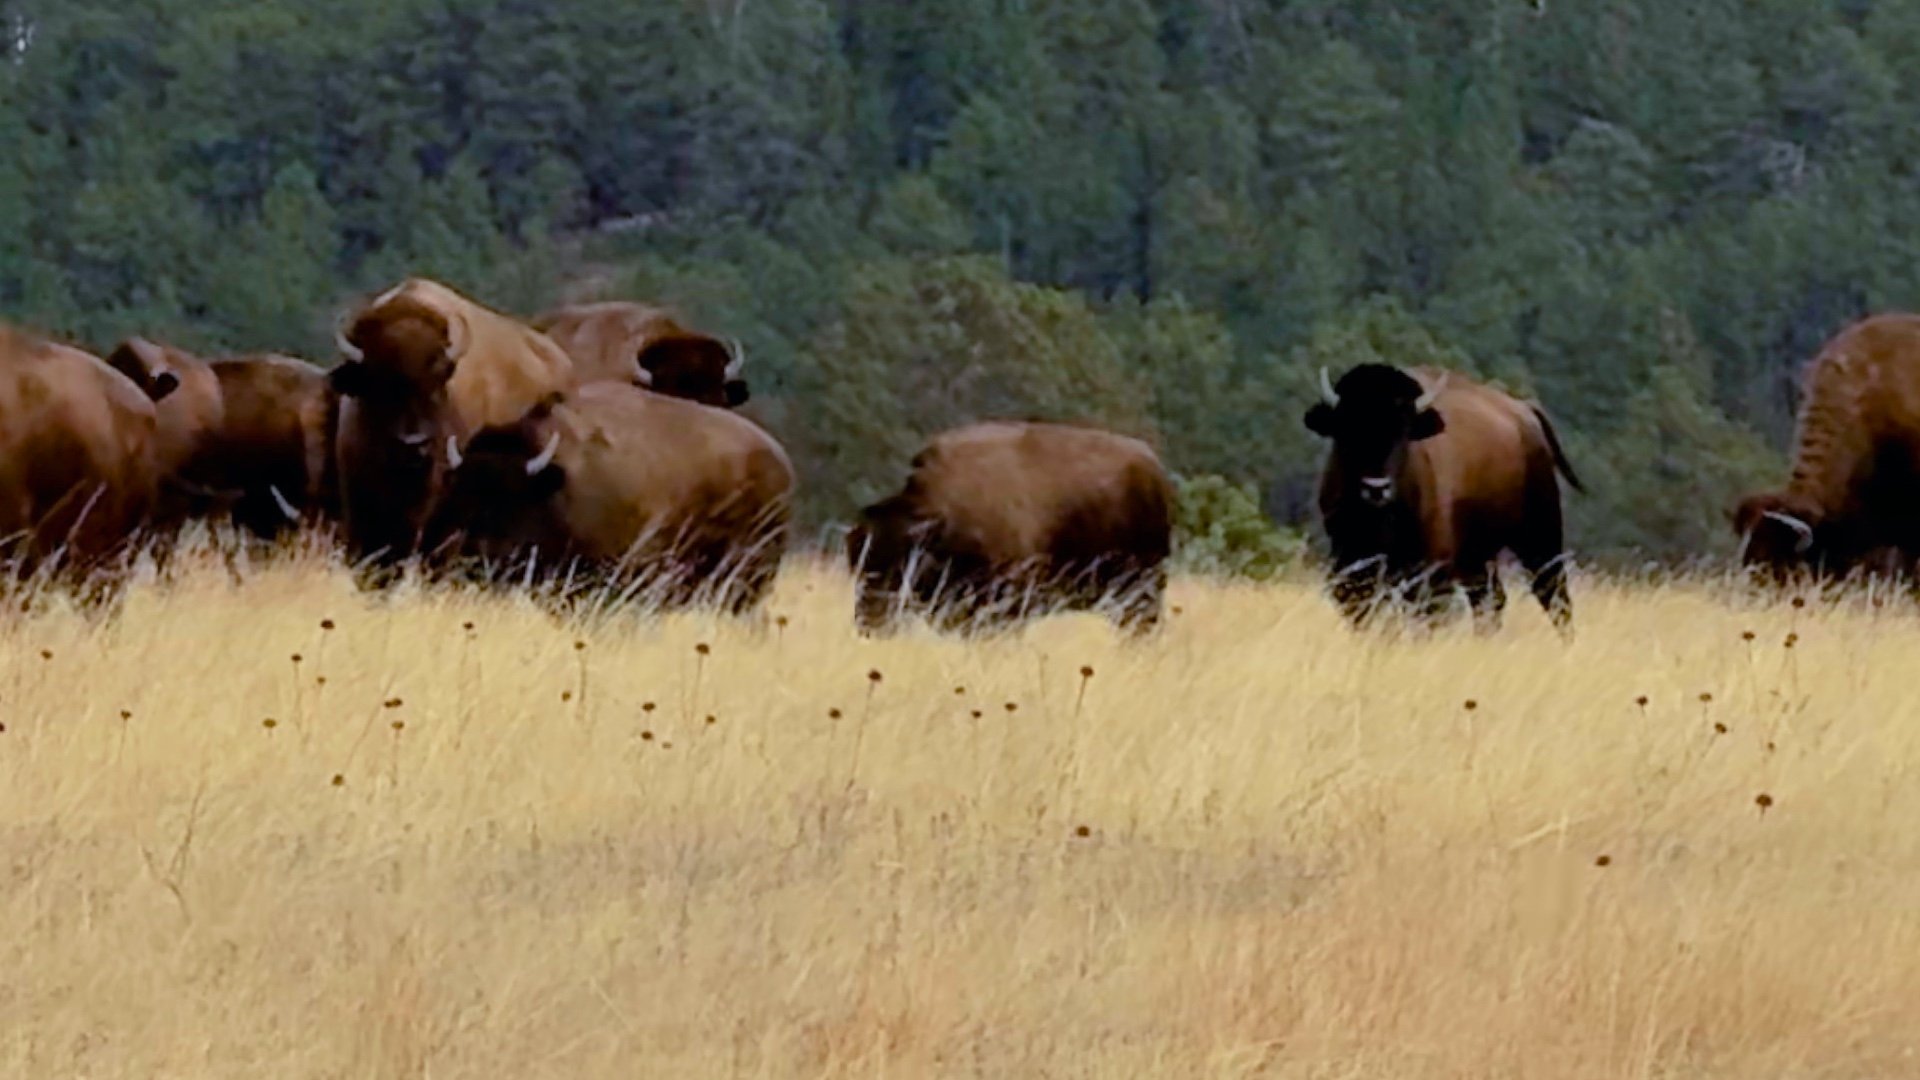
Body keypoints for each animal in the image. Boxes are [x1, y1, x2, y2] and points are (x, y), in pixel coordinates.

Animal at [1305, 364, 1582, 633]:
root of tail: (1524, 410)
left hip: (1539, 539)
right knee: (1492, 600)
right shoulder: (1350, 568)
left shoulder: (1431, 574)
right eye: (1346, 429)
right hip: (1478, 557)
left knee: (1554, 596)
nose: (1376, 487)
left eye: (1404, 431)